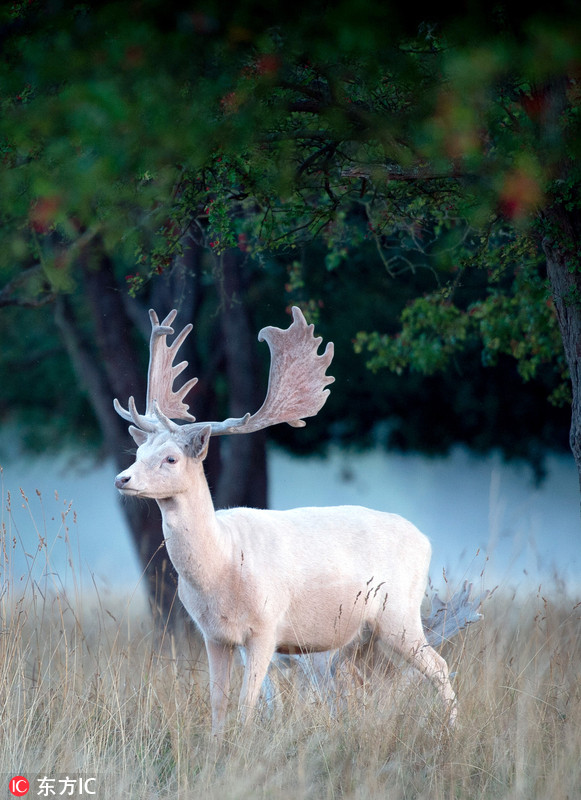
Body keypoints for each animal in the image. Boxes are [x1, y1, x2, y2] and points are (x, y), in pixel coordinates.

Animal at [114, 306, 458, 736]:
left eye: (171, 458)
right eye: (139, 452)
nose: (122, 479)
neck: (221, 564)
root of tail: (425, 539)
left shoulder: (266, 626)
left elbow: (247, 704)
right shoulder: (212, 634)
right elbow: (218, 703)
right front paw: (215, 745)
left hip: (399, 612)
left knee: (440, 667)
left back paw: (452, 730)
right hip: (361, 635)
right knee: (370, 680)